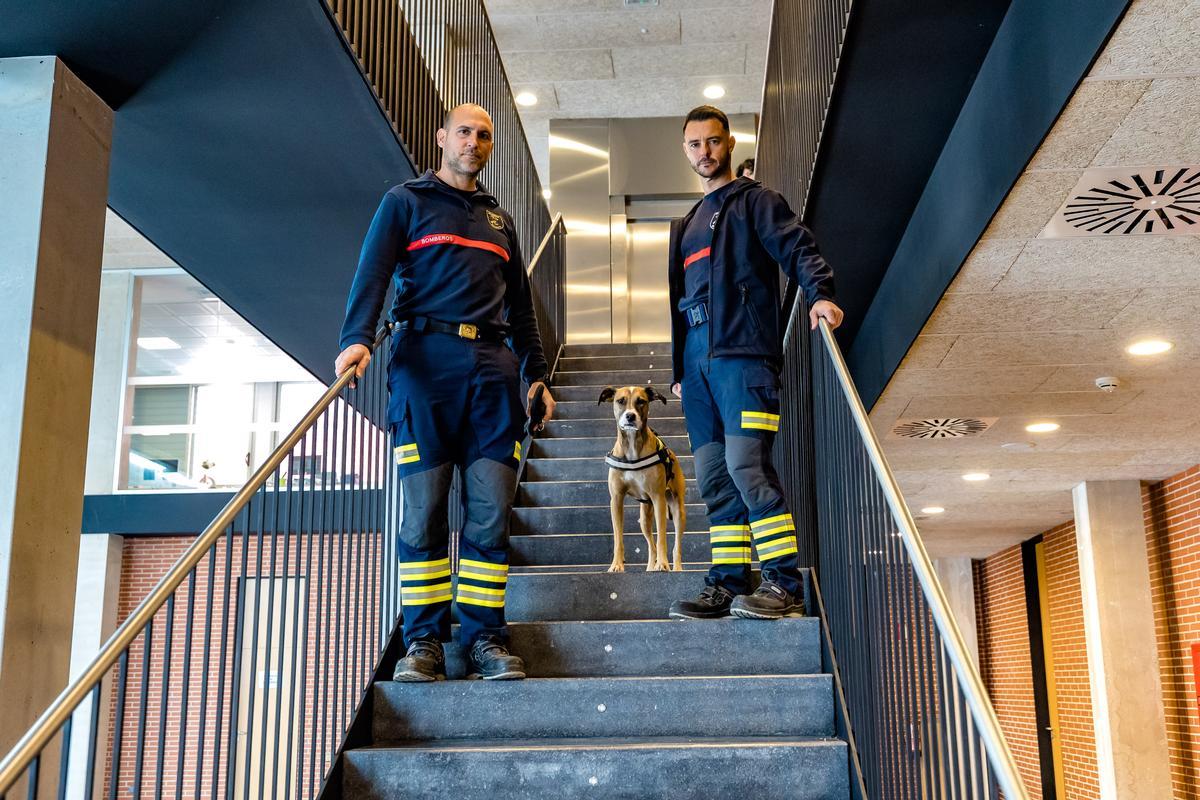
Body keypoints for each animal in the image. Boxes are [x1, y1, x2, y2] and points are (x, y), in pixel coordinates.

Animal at [597, 386, 686, 568]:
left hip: (678, 510)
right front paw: (616, 565)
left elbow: (662, 537)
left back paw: (676, 568)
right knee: (651, 546)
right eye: (620, 401)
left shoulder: (659, 499)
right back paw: (651, 567)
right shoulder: (616, 500)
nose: (630, 416)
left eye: (641, 401)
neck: (632, 445)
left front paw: (663, 565)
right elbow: (618, 537)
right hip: (644, 518)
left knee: (676, 546)